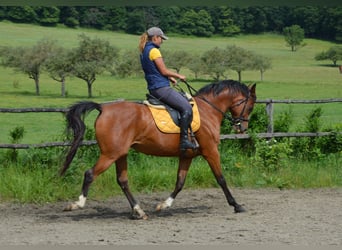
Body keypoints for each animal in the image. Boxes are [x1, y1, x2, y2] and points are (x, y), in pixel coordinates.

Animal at [60, 80, 255, 219]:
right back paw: (77, 204)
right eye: (251, 106)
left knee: (122, 181)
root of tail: (103, 107)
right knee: (90, 174)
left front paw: (164, 205)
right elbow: (221, 179)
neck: (208, 110)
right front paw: (236, 205)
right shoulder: (211, 151)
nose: (242, 128)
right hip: (110, 154)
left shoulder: (187, 156)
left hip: (120, 154)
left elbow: (180, 182)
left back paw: (138, 211)